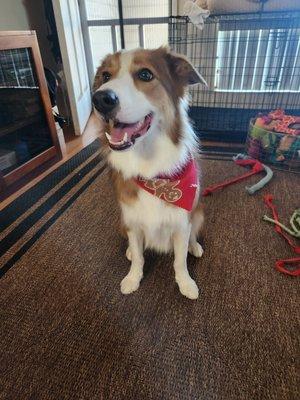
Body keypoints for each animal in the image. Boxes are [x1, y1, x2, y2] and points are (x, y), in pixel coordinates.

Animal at [92, 47, 206, 298]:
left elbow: (180, 260)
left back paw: (194, 247)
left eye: (145, 75)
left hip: (198, 212)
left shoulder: (182, 223)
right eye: (106, 76)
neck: (152, 173)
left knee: (193, 235)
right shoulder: (133, 222)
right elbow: (139, 257)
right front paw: (133, 278)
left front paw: (185, 283)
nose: (100, 99)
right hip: (122, 221)